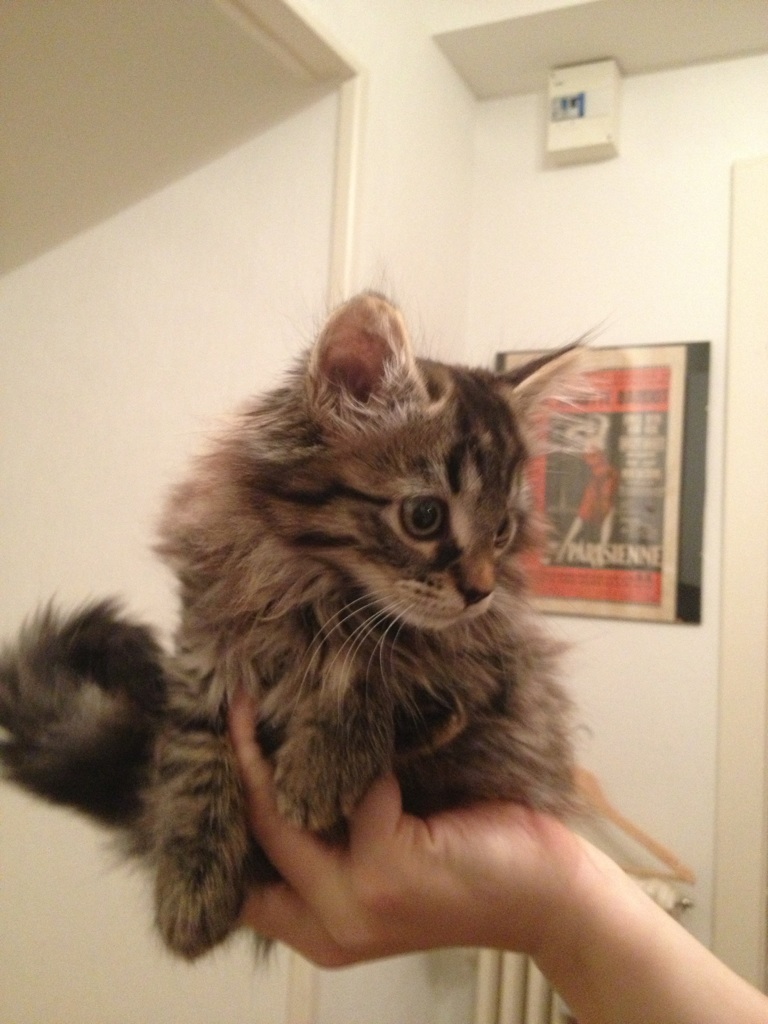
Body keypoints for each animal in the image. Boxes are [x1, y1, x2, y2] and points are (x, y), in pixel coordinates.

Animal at [0, 294, 581, 958]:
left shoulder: (495, 661)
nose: (480, 592)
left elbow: (381, 670)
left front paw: (323, 764)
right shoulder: (202, 649)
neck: (316, 589)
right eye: (425, 516)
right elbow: (193, 756)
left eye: (503, 531)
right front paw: (191, 879)